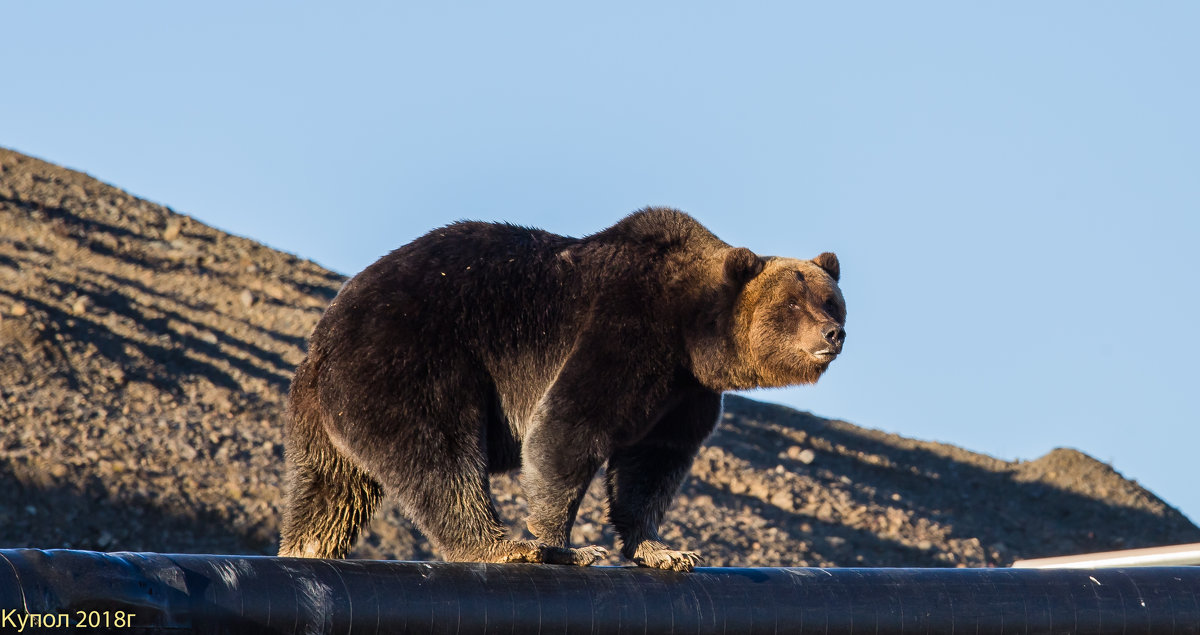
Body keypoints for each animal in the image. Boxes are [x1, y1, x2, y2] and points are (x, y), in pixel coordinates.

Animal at [279, 206, 844, 568]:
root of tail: (322, 338)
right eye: (792, 304)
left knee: (332, 493)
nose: (833, 334)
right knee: (440, 455)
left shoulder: (684, 395)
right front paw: (564, 545)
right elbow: (567, 429)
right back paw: (502, 545)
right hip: (413, 360)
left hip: (325, 416)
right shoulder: (624, 329)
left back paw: (306, 549)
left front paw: (665, 549)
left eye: (831, 300)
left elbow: (651, 466)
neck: (691, 333)